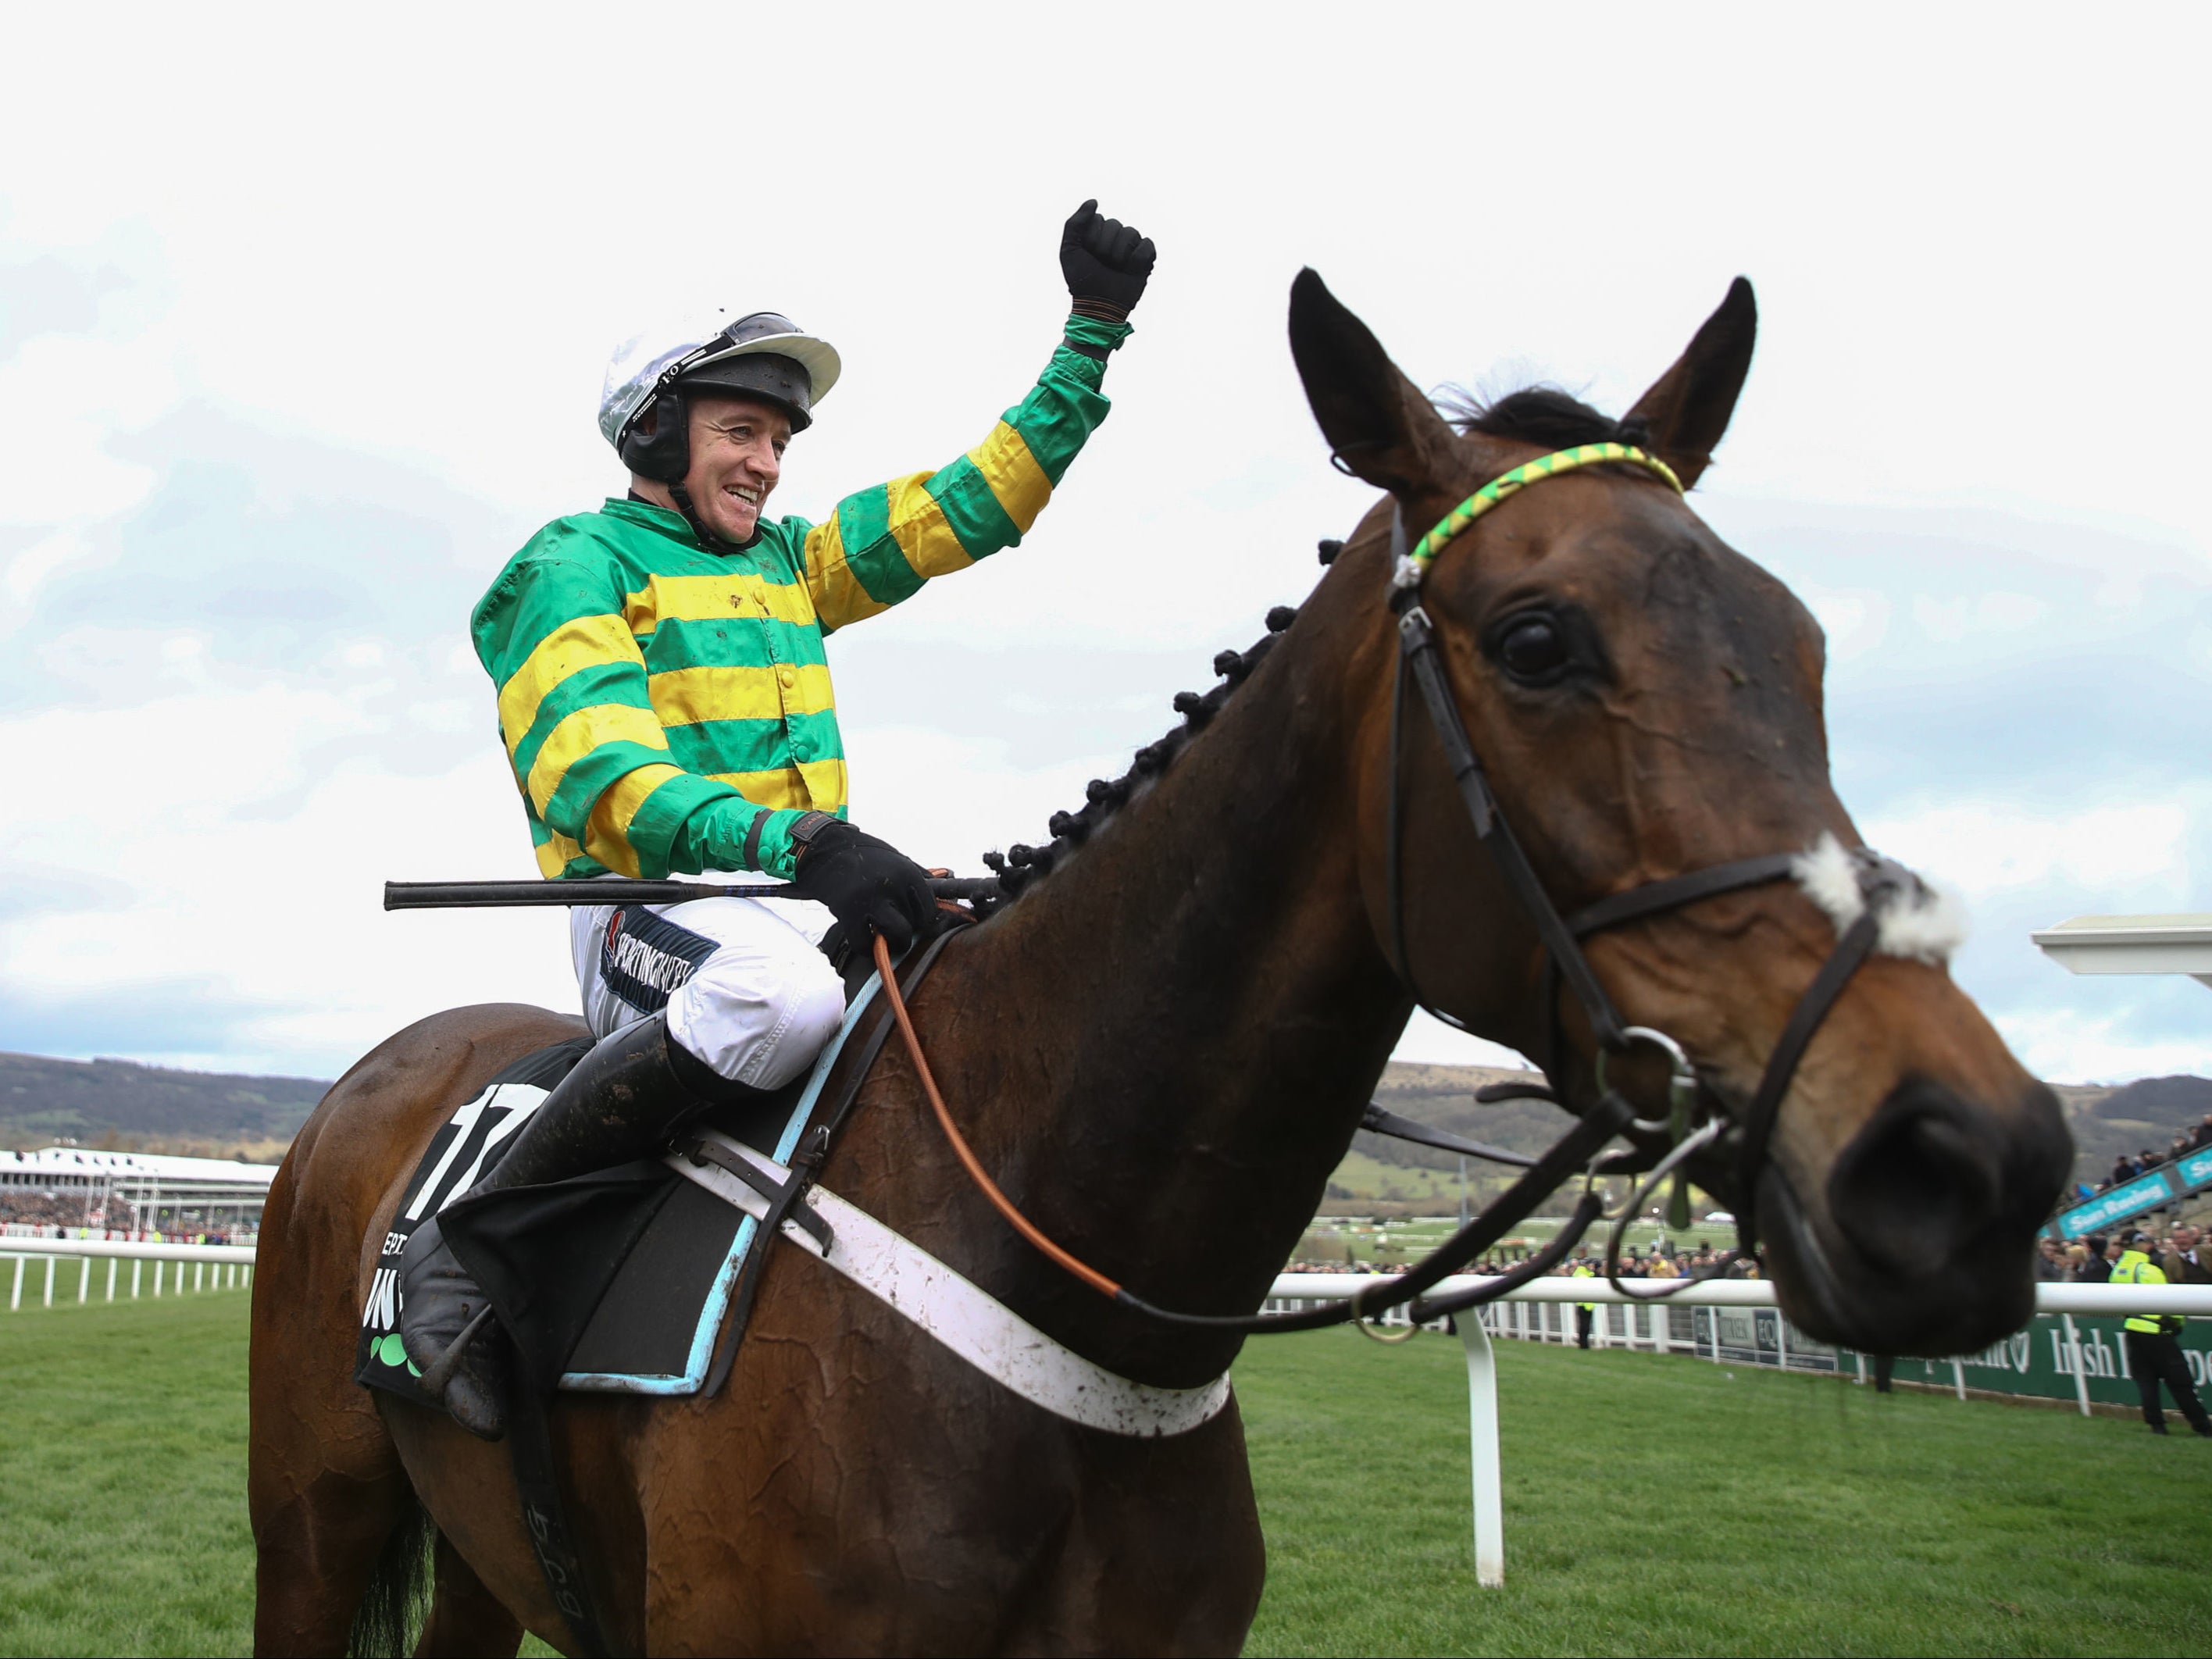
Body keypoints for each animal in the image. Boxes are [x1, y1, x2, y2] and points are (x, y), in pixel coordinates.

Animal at [246, 280, 2070, 1654]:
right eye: (1540, 642)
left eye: (1800, 643)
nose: (1968, 1158)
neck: (1058, 1265)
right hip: (314, 1526)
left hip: (481, 1556)